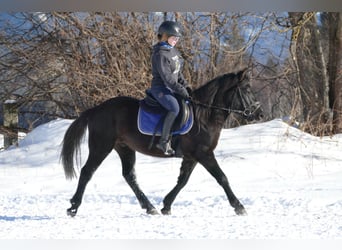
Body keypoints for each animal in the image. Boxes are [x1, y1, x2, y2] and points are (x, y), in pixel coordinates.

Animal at [61, 69, 264, 217]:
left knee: (129, 176)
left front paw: (166, 205)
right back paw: (73, 207)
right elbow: (222, 178)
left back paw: (150, 207)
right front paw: (239, 206)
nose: (259, 114)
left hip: (124, 148)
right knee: (87, 172)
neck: (204, 116)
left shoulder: (192, 156)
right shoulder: (204, 154)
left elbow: (182, 181)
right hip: (101, 146)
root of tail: (96, 109)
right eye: (246, 88)